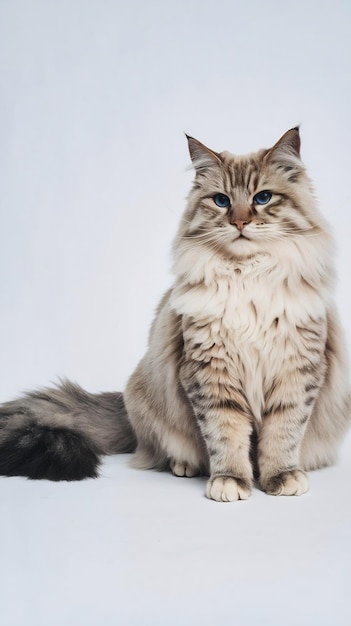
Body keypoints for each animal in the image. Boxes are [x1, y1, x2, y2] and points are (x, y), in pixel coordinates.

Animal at [0, 129, 351, 500]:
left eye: (263, 197)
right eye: (222, 201)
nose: (240, 221)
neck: (247, 276)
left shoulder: (297, 372)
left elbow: (282, 434)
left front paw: (282, 477)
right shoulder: (211, 372)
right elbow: (225, 434)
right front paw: (230, 480)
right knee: (161, 451)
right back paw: (186, 466)